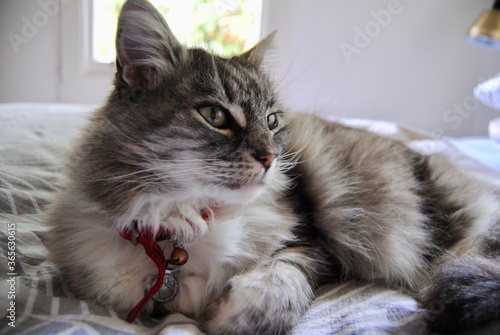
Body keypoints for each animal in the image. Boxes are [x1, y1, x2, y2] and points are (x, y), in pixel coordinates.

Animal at [45, 0, 498, 334]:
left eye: (272, 120)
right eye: (215, 116)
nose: (270, 158)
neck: (183, 231)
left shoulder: (314, 246)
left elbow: (277, 285)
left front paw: (226, 315)